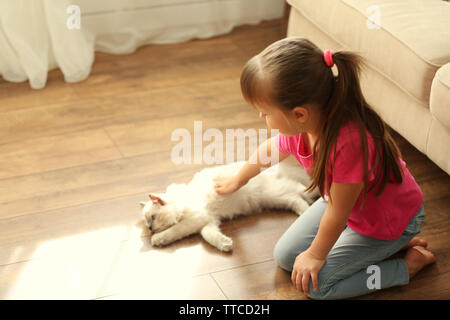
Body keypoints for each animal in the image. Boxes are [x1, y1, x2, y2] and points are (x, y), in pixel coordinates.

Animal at [141, 160, 320, 252]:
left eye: (153, 218)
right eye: (147, 222)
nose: (150, 229)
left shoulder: (196, 219)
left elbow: (175, 230)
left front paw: (158, 239)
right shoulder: (208, 222)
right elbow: (210, 236)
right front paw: (225, 244)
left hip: (282, 191)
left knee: (307, 191)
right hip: (277, 197)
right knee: (296, 200)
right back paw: (305, 212)